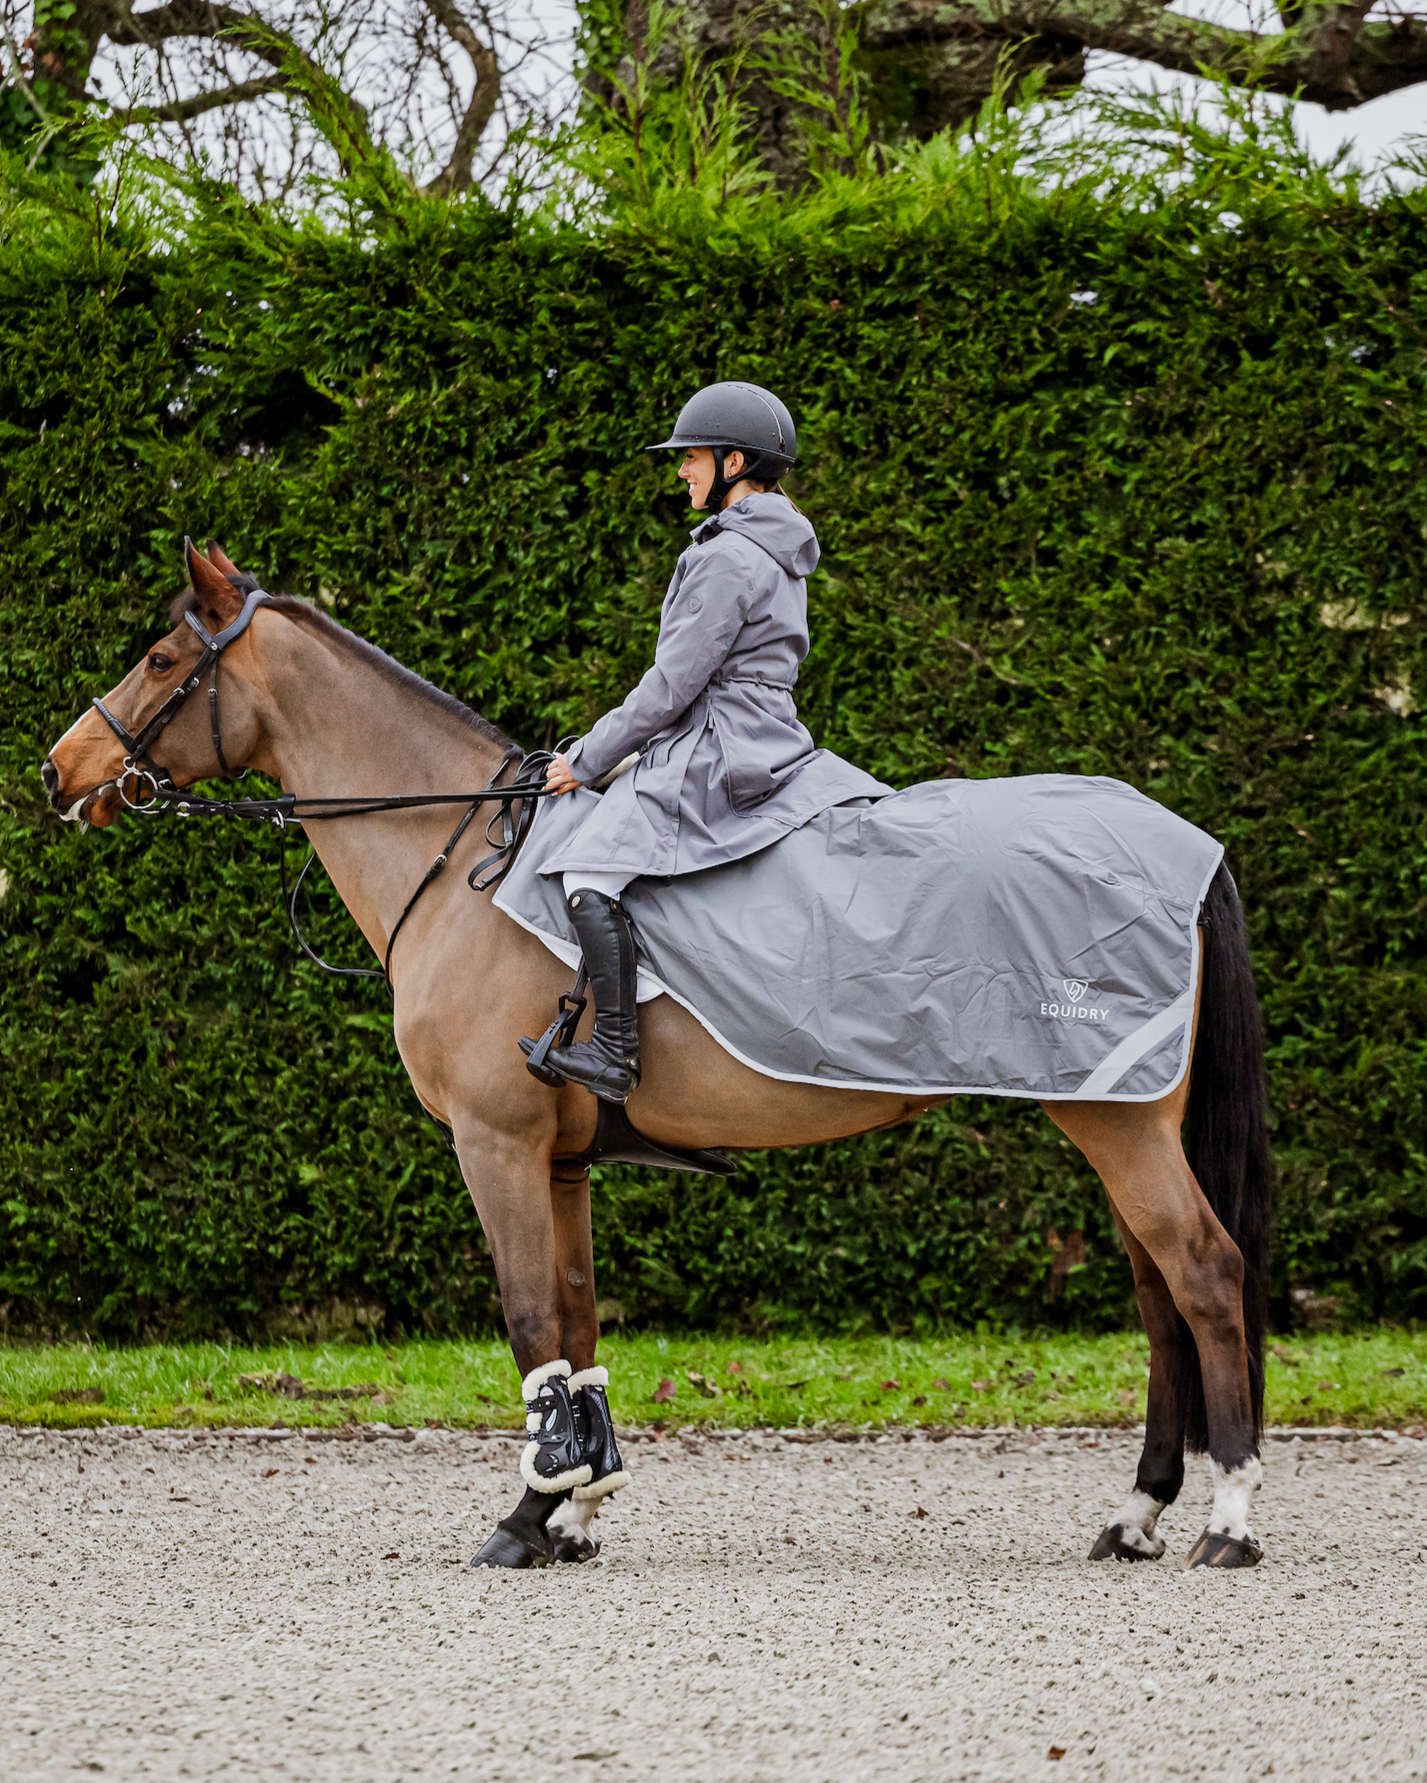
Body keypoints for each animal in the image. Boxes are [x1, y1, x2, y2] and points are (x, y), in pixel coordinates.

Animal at [41, 541, 1273, 1571]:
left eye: (161, 658)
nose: (59, 771)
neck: (464, 859)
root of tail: (1179, 841)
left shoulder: (496, 1144)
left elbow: (530, 1320)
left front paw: (525, 1516)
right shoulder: (560, 1159)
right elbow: (576, 1319)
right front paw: (576, 1507)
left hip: (1116, 1120)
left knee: (1204, 1278)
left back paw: (1227, 1518)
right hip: (1117, 1116)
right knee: (1159, 1294)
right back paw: (1137, 1512)